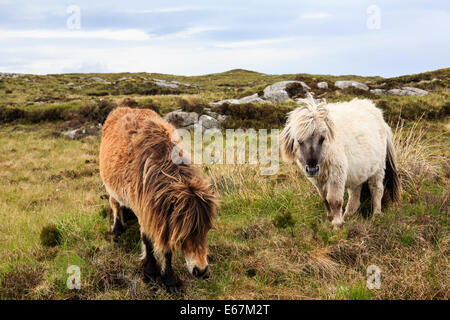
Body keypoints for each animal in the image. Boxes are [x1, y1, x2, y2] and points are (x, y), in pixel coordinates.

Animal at [100, 107, 216, 292]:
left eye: (207, 229)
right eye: (186, 232)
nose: (202, 271)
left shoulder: (164, 217)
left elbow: (166, 249)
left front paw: (170, 280)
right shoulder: (145, 212)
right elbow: (148, 242)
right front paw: (150, 273)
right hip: (112, 188)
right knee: (115, 205)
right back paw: (117, 232)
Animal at [282, 96, 400, 229]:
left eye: (322, 138)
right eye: (299, 141)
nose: (312, 169)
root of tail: (380, 116)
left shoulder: (336, 174)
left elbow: (334, 200)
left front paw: (337, 224)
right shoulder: (318, 180)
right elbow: (325, 199)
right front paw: (330, 218)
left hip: (378, 168)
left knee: (377, 189)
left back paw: (376, 215)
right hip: (358, 171)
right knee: (355, 195)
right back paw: (348, 215)